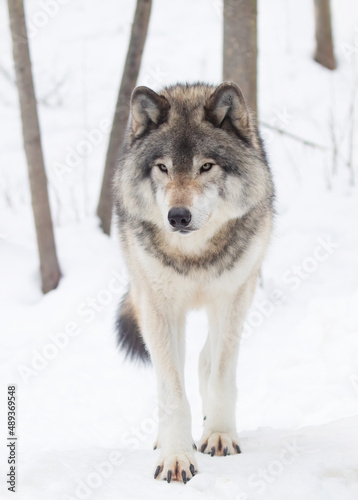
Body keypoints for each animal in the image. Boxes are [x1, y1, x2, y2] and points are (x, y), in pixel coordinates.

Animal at [114, 82, 274, 484]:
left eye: (205, 166)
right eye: (163, 167)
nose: (178, 216)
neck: (194, 256)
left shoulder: (232, 297)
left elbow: (219, 373)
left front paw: (218, 435)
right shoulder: (159, 307)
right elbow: (172, 391)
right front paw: (176, 456)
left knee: (206, 359)